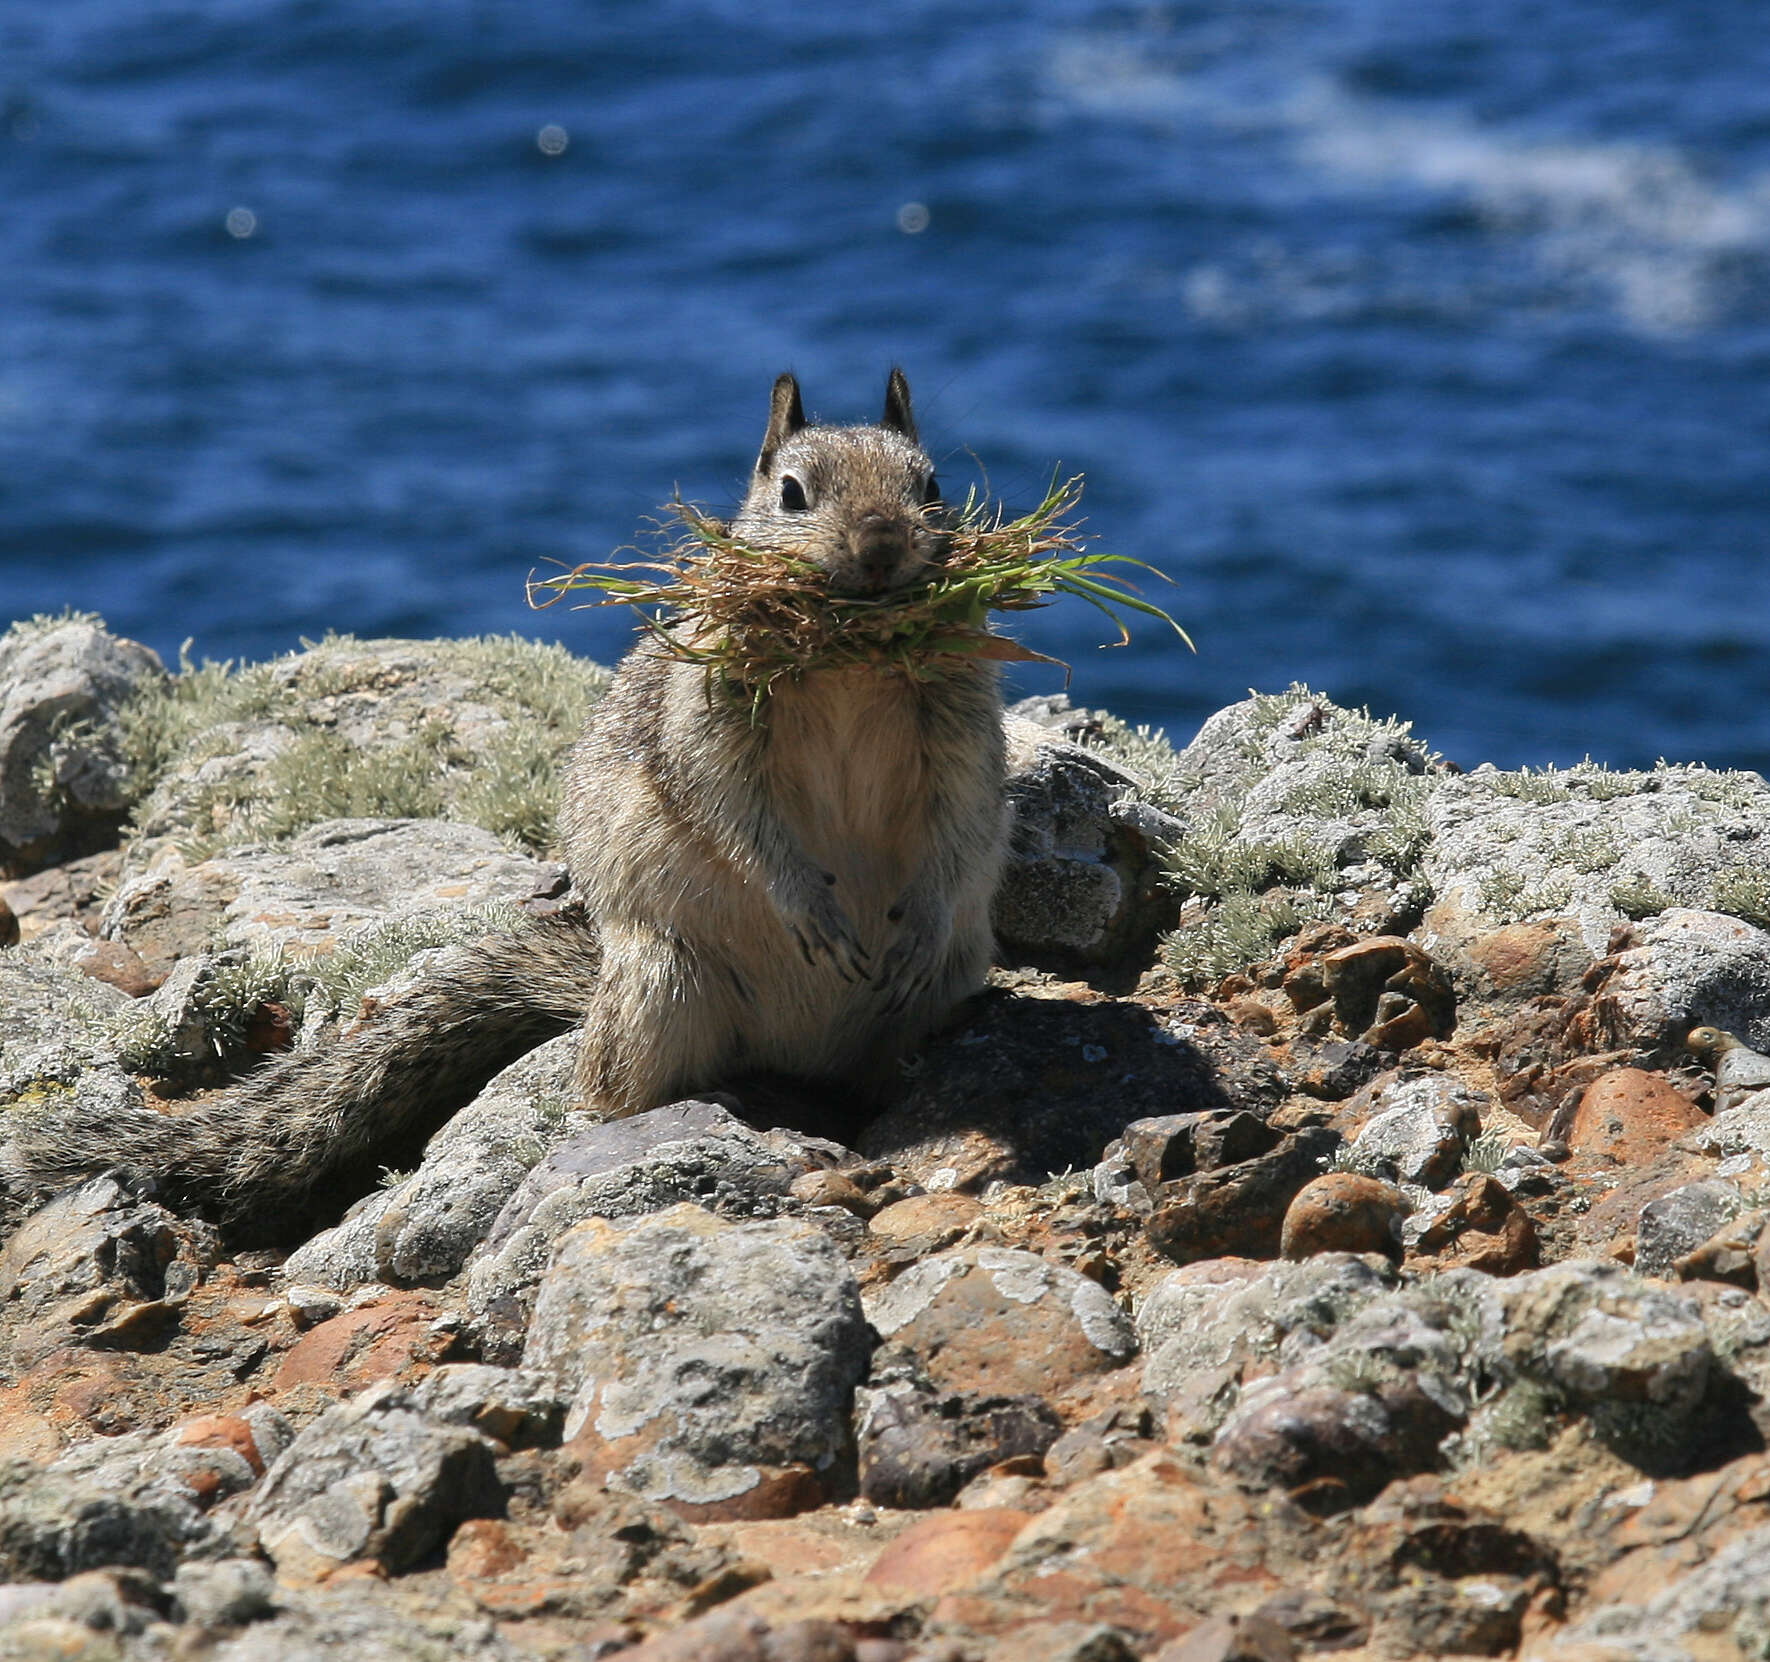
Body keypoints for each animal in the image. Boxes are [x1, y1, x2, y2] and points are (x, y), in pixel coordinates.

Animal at [17, 373, 1012, 1231]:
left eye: (931, 484)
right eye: (793, 494)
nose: (881, 545)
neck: (852, 659)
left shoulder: (963, 727)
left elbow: (962, 818)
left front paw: (913, 921)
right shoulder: (710, 718)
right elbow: (733, 812)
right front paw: (810, 909)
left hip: (942, 980)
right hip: (664, 984)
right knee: (609, 1093)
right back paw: (722, 1109)